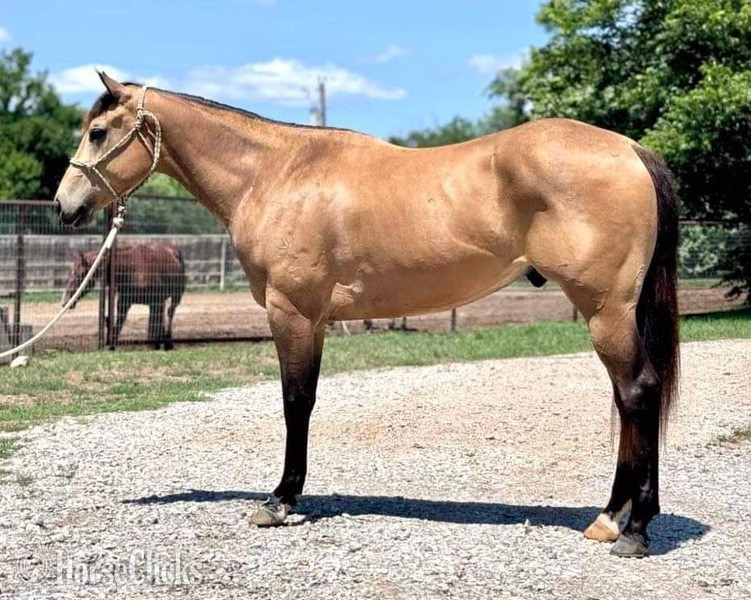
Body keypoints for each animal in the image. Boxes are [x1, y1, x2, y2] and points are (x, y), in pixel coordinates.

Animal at [53, 73, 679, 557]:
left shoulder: (291, 312)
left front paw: (279, 501)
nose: (64, 206)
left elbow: (294, 402)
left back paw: (632, 529)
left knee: (638, 393)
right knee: (627, 401)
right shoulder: (316, 320)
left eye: (98, 132)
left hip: (605, 311)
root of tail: (630, 149)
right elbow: (305, 400)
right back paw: (610, 518)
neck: (275, 172)